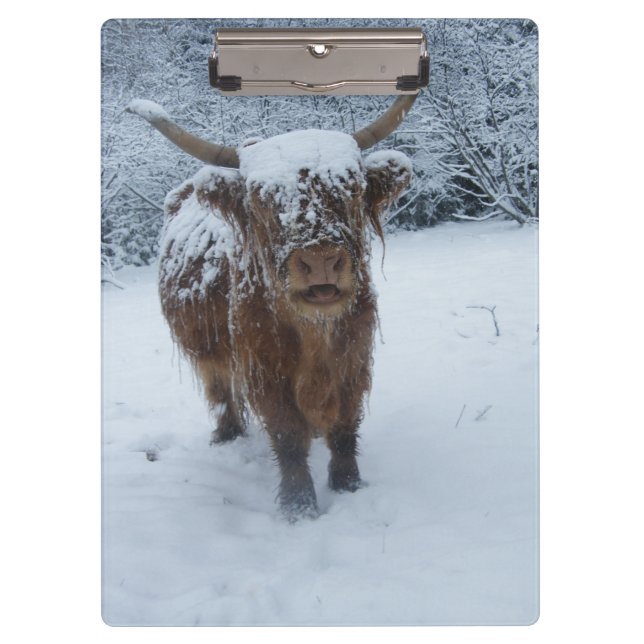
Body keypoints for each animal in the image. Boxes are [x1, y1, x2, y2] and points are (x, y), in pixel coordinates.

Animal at [127, 96, 416, 520]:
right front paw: (299, 506)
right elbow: (287, 433)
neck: (314, 333)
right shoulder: (264, 369)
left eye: (352, 188)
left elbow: (345, 424)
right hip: (209, 353)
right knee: (221, 391)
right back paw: (226, 435)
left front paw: (348, 485)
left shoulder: (354, 357)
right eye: (261, 200)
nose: (321, 260)